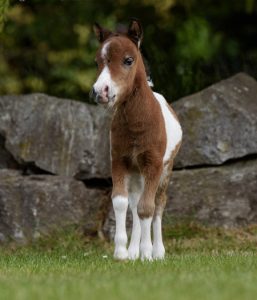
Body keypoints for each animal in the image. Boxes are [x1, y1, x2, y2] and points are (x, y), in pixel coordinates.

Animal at [91, 20, 181, 260]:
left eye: (128, 60)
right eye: (97, 61)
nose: (100, 92)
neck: (137, 124)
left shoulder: (153, 163)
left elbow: (147, 208)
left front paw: (147, 254)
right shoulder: (119, 160)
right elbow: (121, 203)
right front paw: (122, 252)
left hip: (165, 170)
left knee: (158, 204)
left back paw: (157, 252)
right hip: (136, 172)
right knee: (135, 203)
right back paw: (134, 252)